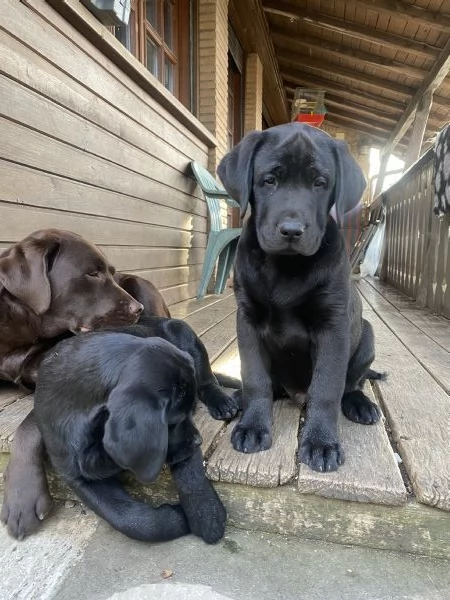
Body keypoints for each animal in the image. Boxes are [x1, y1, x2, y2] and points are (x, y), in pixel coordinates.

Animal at [33, 318, 236, 544]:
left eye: (187, 413)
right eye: (173, 422)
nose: (199, 441)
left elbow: (190, 471)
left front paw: (206, 512)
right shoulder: (77, 476)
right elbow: (126, 518)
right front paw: (176, 517)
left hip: (183, 332)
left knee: (208, 381)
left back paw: (221, 401)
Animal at [218, 123, 380, 474]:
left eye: (320, 183)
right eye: (269, 180)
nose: (291, 230)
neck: (285, 266)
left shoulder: (333, 326)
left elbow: (327, 387)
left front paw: (321, 443)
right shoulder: (246, 320)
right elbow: (254, 378)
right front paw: (253, 426)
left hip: (367, 335)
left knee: (352, 383)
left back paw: (360, 404)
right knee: (269, 385)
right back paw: (237, 400)